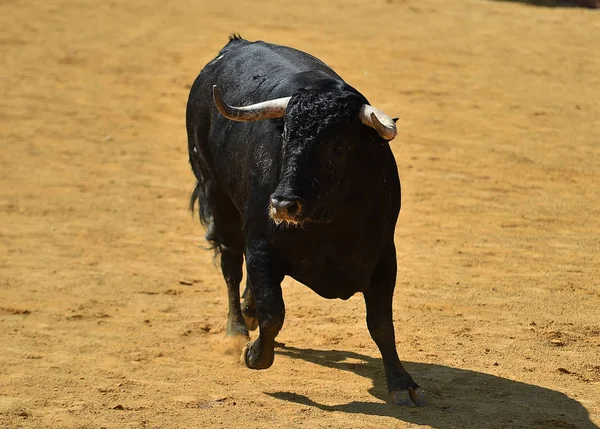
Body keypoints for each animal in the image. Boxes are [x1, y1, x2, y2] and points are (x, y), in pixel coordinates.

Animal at [185, 36, 424, 404]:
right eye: (285, 137)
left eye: (339, 146)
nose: (283, 204)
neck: (329, 222)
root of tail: (235, 45)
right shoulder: (261, 246)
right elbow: (273, 311)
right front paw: (253, 354)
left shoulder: (384, 256)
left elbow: (382, 324)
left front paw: (402, 383)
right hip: (216, 195)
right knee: (230, 264)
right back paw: (237, 332)